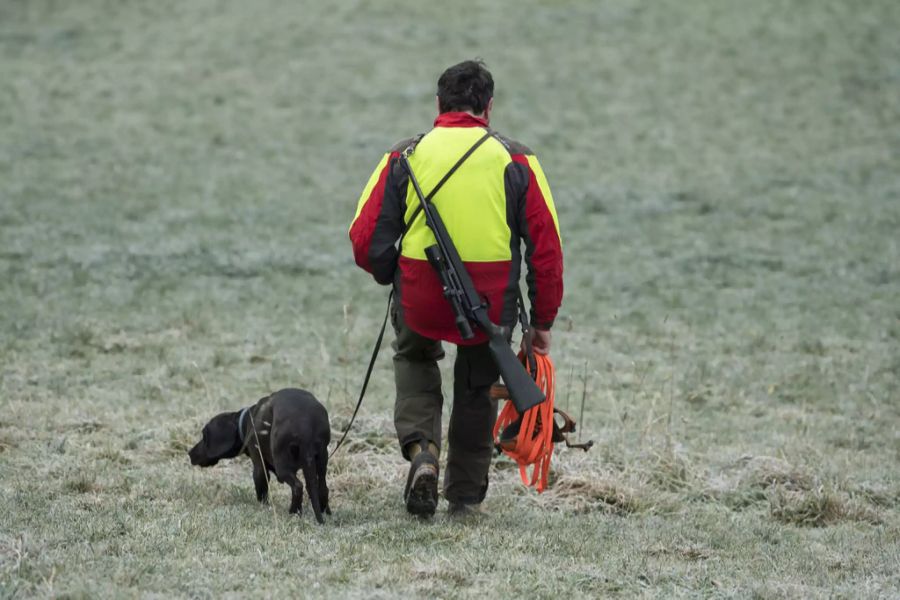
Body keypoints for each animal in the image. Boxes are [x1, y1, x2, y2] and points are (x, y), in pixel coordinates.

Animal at [187, 386, 330, 524]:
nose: (189, 453)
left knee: (297, 486)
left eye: (204, 437)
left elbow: (262, 491)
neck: (245, 422)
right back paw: (325, 512)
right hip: (322, 461)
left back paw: (294, 512)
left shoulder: (259, 467)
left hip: (283, 467)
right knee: (323, 488)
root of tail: (306, 427)